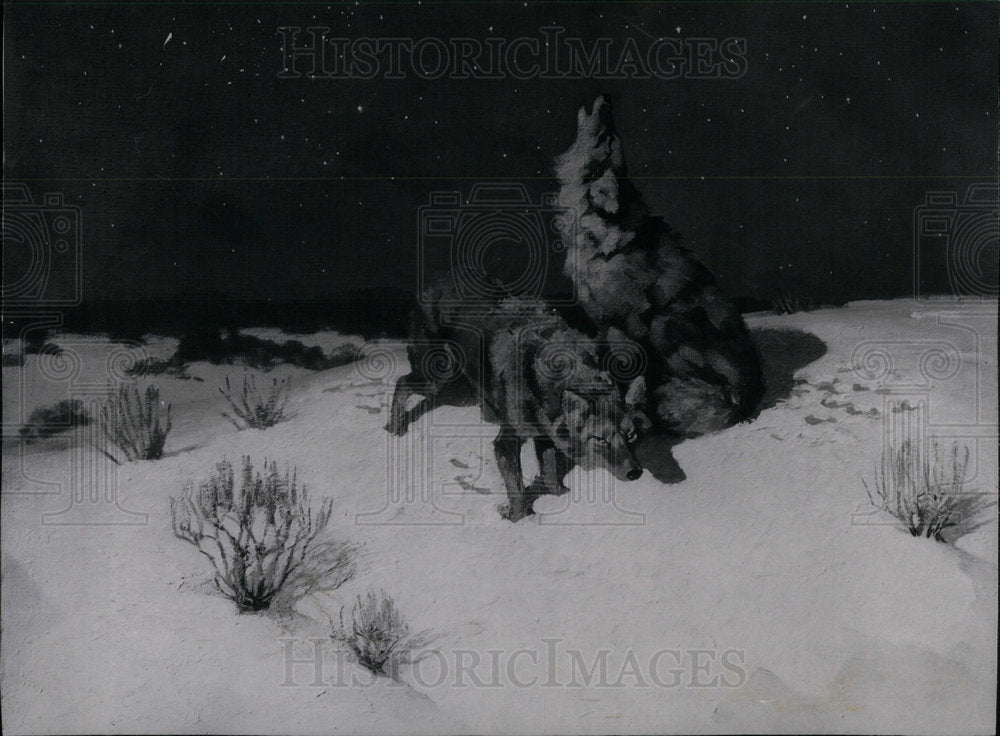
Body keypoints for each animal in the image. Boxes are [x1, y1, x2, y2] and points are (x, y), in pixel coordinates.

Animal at [382, 288, 648, 524]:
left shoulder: (545, 433)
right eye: (600, 439)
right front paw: (519, 519)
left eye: (631, 435)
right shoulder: (507, 442)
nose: (635, 473)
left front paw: (558, 495)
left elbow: (549, 468)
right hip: (438, 377)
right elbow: (517, 488)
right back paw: (395, 426)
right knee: (402, 382)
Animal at [556, 94, 764, 434]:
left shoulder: (617, 326)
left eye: (607, 138)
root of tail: (750, 393)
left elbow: (621, 371)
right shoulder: (601, 324)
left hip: (665, 325)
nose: (607, 99)